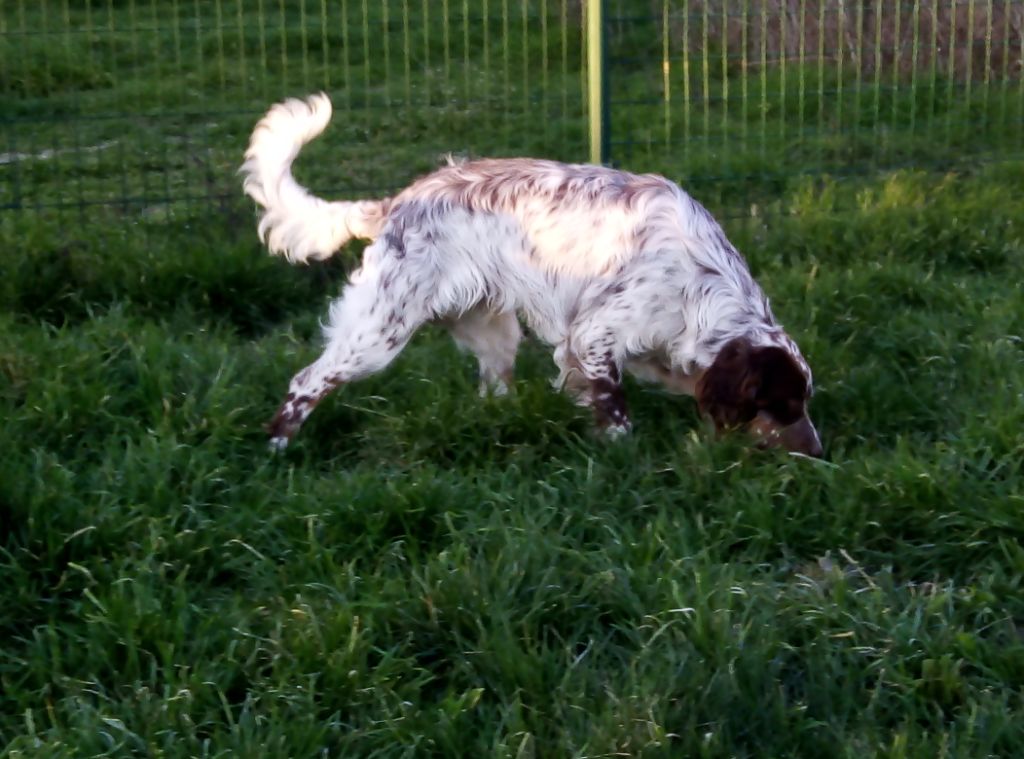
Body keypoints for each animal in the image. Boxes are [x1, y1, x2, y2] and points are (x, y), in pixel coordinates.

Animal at [239, 93, 823, 456]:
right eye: (783, 403)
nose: (819, 453)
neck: (699, 281)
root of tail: (395, 205)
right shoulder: (595, 336)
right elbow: (614, 406)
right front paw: (624, 449)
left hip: (494, 332)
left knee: (493, 391)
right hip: (379, 333)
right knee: (307, 381)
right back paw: (278, 445)